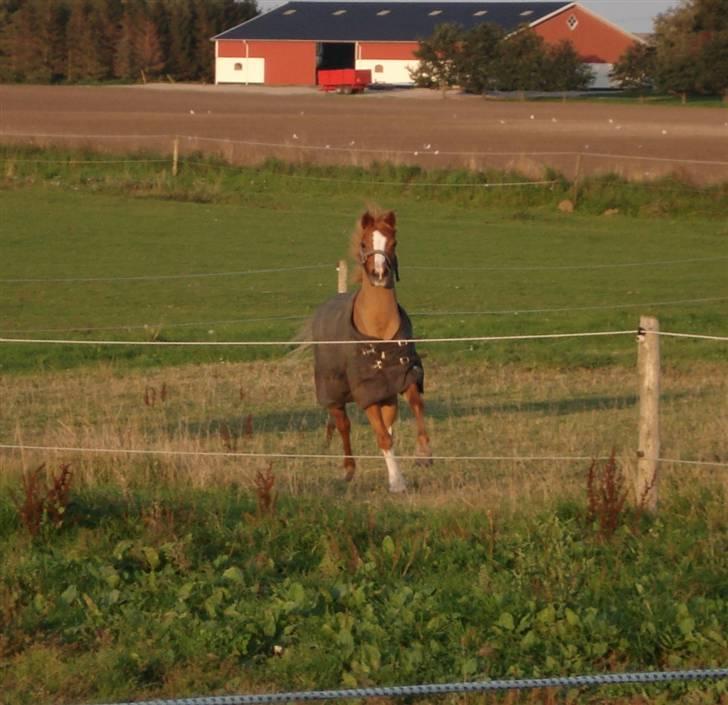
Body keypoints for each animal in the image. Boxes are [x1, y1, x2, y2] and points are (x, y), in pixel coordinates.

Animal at [312, 208, 432, 490]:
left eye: (394, 243)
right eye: (365, 243)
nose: (379, 275)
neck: (379, 328)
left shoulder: (404, 376)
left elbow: (415, 406)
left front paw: (423, 454)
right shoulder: (365, 390)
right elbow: (381, 436)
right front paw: (397, 482)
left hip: (386, 396)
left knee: (385, 424)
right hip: (335, 394)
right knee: (344, 426)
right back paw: (348, 470)